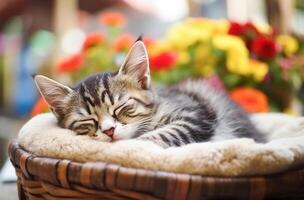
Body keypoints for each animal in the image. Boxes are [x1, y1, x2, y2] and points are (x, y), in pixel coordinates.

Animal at [33, 40, 264, 148]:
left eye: (120, 107)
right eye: (88, 120)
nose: (109, 131)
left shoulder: (194, 113)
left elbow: (162, 134)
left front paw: (137, 144)